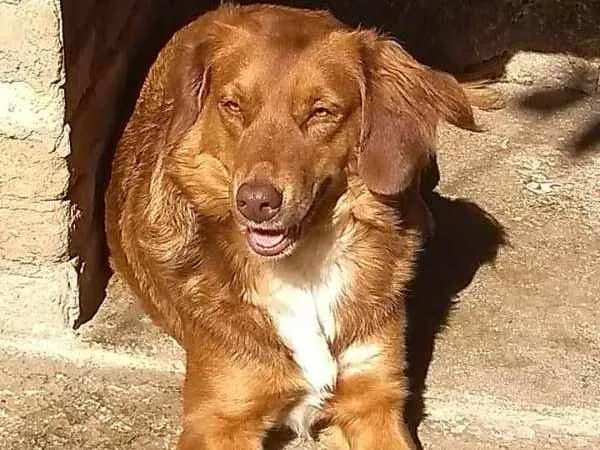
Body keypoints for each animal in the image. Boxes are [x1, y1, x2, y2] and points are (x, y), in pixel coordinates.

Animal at [105, 4, 482, 449]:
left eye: (321, 112)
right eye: (233, 106)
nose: (255, 202)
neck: (305, 266)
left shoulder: (374, 399)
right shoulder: (218, 419)